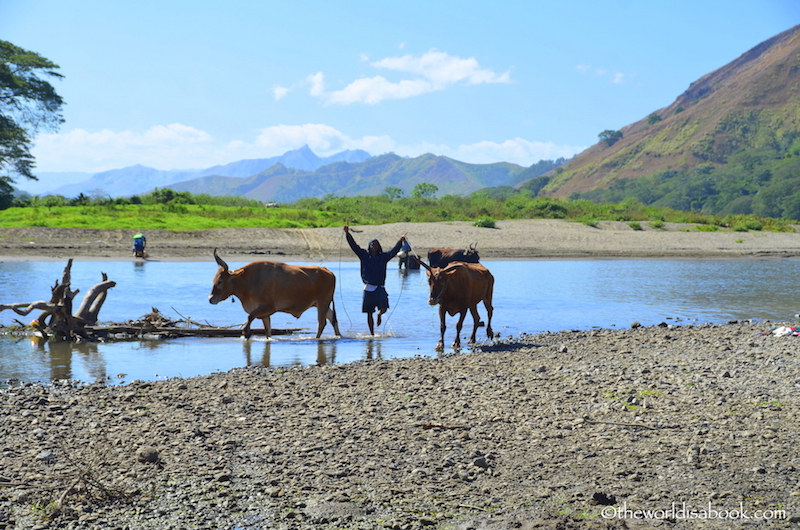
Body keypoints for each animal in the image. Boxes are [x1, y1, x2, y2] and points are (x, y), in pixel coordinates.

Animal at [209, 249, 340, 338]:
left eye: (220, 281)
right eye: (214, 280)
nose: (210, 299)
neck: (251, 280)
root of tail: (328, 271)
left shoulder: (268, 307)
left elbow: (250, 316)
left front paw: (246, 333)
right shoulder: (264, 314)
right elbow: (267, 331)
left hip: (323, 302)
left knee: (322, 323)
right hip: (321, 304)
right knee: (333, 319)